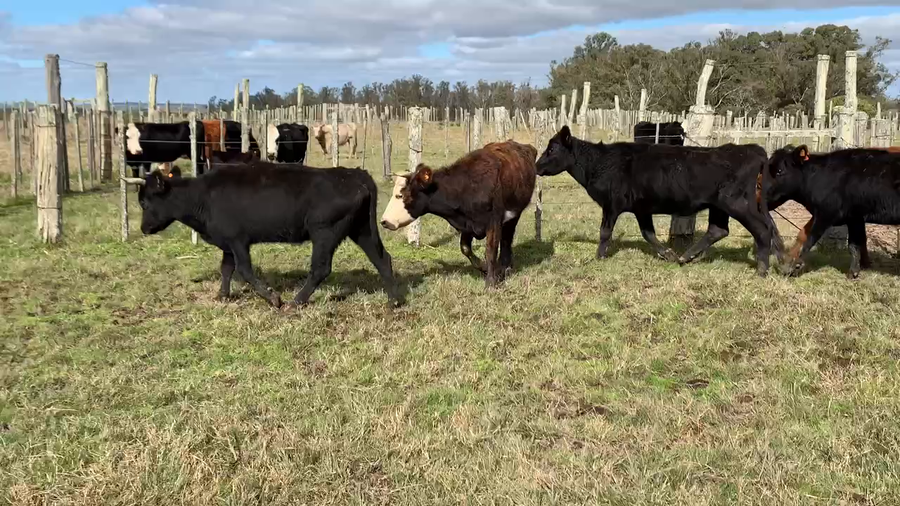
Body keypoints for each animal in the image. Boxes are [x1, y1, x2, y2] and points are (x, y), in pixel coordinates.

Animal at [121, 162, 401, 308]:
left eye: (144, 202)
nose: (144, 228)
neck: (203, 195)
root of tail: (354, 174)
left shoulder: (238, 241)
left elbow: (244, 270)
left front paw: (273, 298)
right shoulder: (228, 243)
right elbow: (226, 268)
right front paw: (222, 295)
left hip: (324, 232)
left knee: (320, 269)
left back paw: (295, 302)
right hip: (361, 230)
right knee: (382, 259)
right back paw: (394, 301)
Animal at [380, 140, 537, 287]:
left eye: (400, 195)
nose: (384, 221)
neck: (465, 187)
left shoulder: (494, 221)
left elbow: (491, 250)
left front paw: (491, 282)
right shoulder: (467, 224)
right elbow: (465, 248)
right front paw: (484, 268)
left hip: (515, 214)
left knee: (506, 240)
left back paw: (505, 266)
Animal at [535, 125, 780, 276]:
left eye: (552, 149)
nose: (537, 165)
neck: (599, 163)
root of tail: (752, 149)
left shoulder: (612, 204)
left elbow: (605, 232)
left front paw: (599, 257)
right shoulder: (642, 209)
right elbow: (648, 234)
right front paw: (668, 254)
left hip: (738, 204)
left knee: (762, 230)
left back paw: (762, 269)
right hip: (720, 207)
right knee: (718, 230)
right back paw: (685, 257)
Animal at [763, 144, 900, 278]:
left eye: (780, 171)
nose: (760, 187)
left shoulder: (827, 214)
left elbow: (810, 239)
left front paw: (793, 267)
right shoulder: (855, 217)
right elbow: (855, 244)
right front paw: (855, 272)